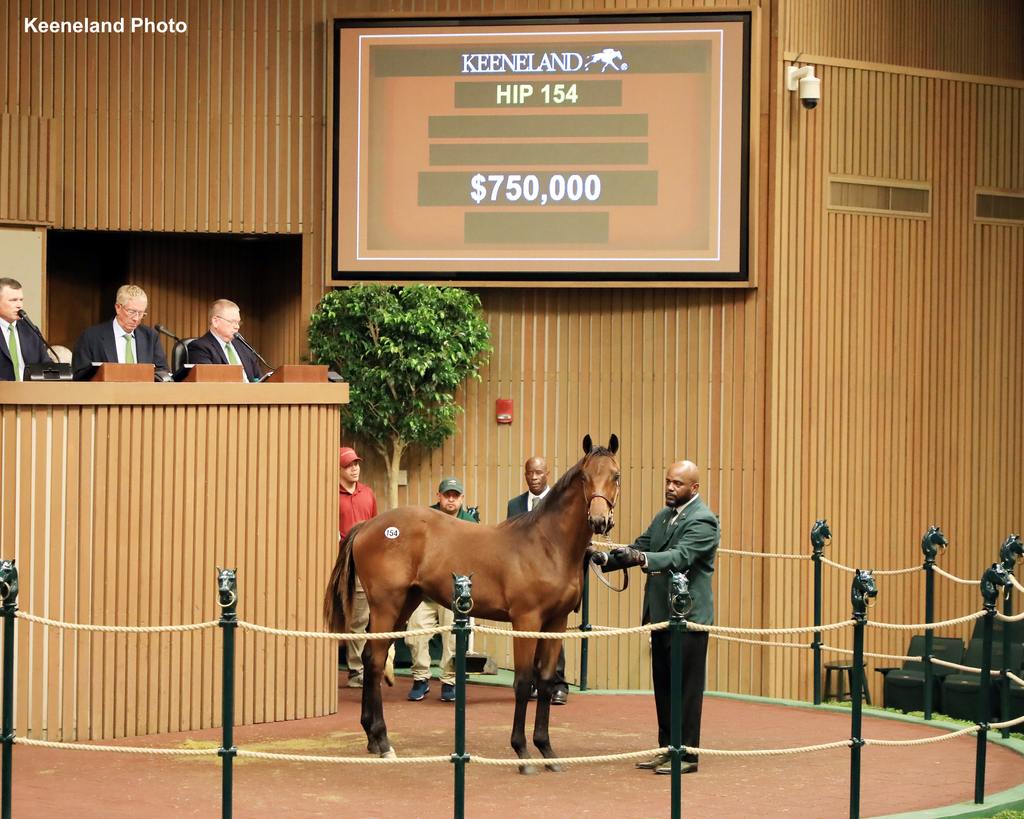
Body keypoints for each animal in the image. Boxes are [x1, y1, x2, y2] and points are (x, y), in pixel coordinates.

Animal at [323, 432, 618, 769]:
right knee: (373, 662)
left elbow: (544, 681)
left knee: (374, 657)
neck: (546, 544)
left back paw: (373, 738)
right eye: (585, 477)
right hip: (387, 604)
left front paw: (547, 750)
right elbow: (523, 681)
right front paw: (522, 751)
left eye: (615, 475)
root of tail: (368, 526)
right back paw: (383, 740)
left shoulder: (556, 623)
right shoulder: (526, 620)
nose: (599, 520)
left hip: (405, 604)